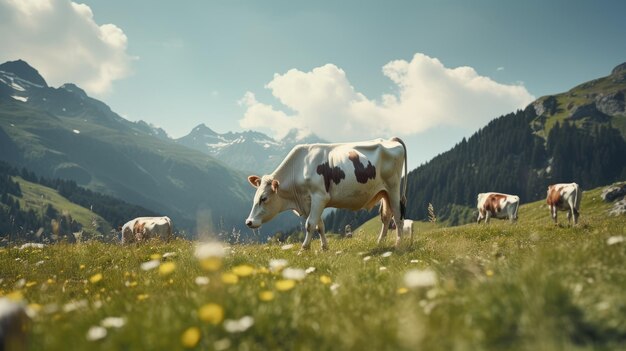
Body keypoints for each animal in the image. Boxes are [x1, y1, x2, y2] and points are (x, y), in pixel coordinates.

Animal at [244, 138, 410, 250]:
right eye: (255, 198)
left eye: (263, 198)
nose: (249, 222)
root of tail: (389, 140)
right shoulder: (310, 202)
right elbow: (319, 226)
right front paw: (324, 248)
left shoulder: (319, 197)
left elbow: (310, 224)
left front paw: (304, 248)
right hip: (384, 192)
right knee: (386, 216)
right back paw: (380, 242)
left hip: (393, 188)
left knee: (398, 216)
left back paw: (399, 244)